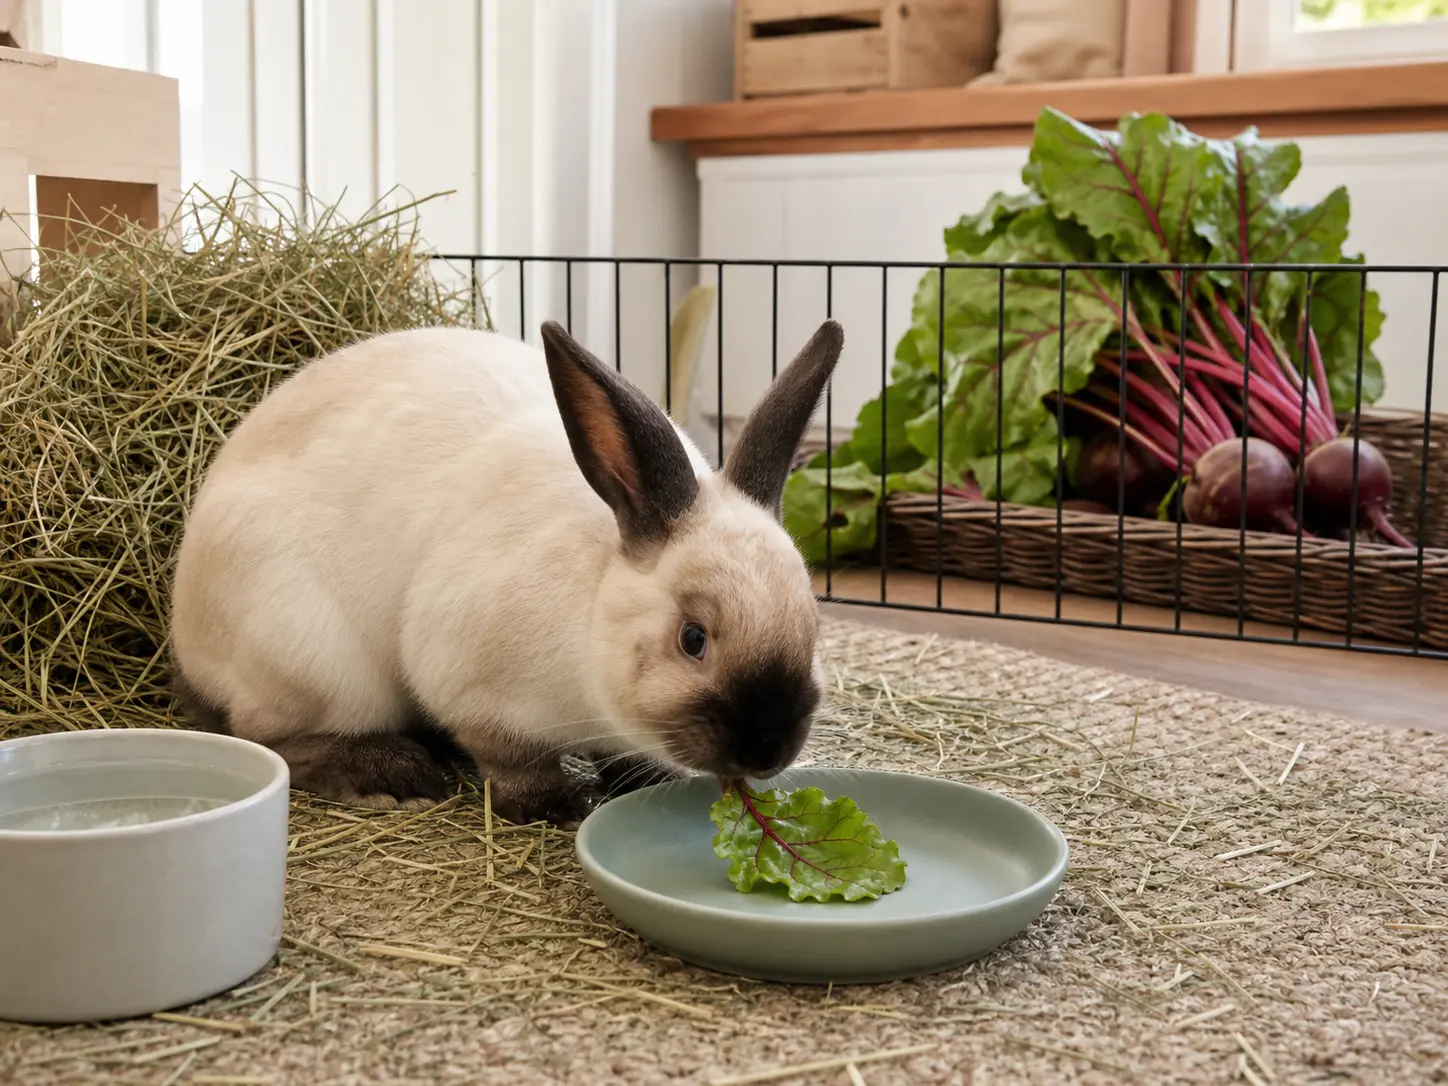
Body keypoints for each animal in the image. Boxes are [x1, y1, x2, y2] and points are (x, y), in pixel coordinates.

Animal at [169, 316, 845, 826]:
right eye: (693, 639)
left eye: (814, 626)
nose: (767, 750)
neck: (592, 609)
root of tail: (185, 641)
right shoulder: (473, 686)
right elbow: (512, 761)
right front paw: (555, 807)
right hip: (314, 661)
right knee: (272, 736)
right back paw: (395, 774)